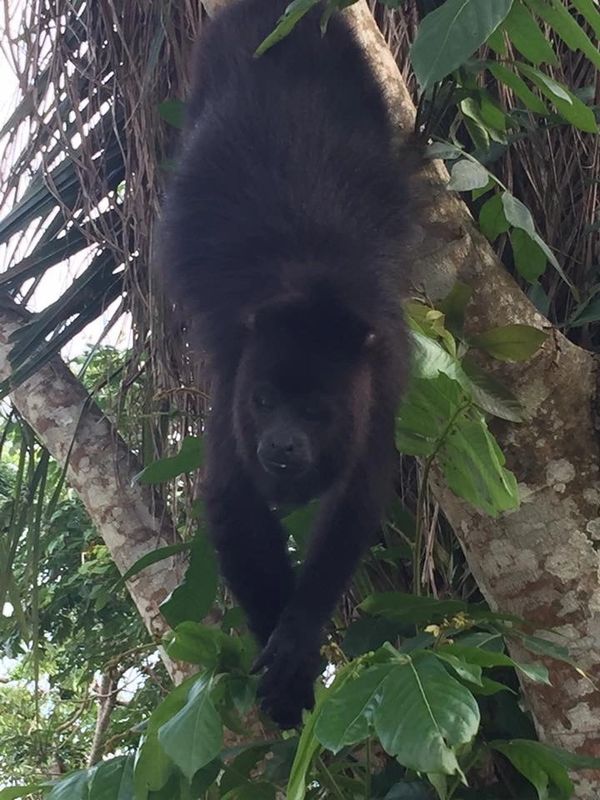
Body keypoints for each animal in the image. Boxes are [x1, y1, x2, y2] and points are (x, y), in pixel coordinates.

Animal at [156, 0, 412, 728]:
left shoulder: (382, 375)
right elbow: (233, 496)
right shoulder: (234, 371)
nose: (282, 444)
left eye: (315, 411)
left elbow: (357, 497)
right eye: (266, 400)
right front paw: (283, 665)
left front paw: (297, 637)